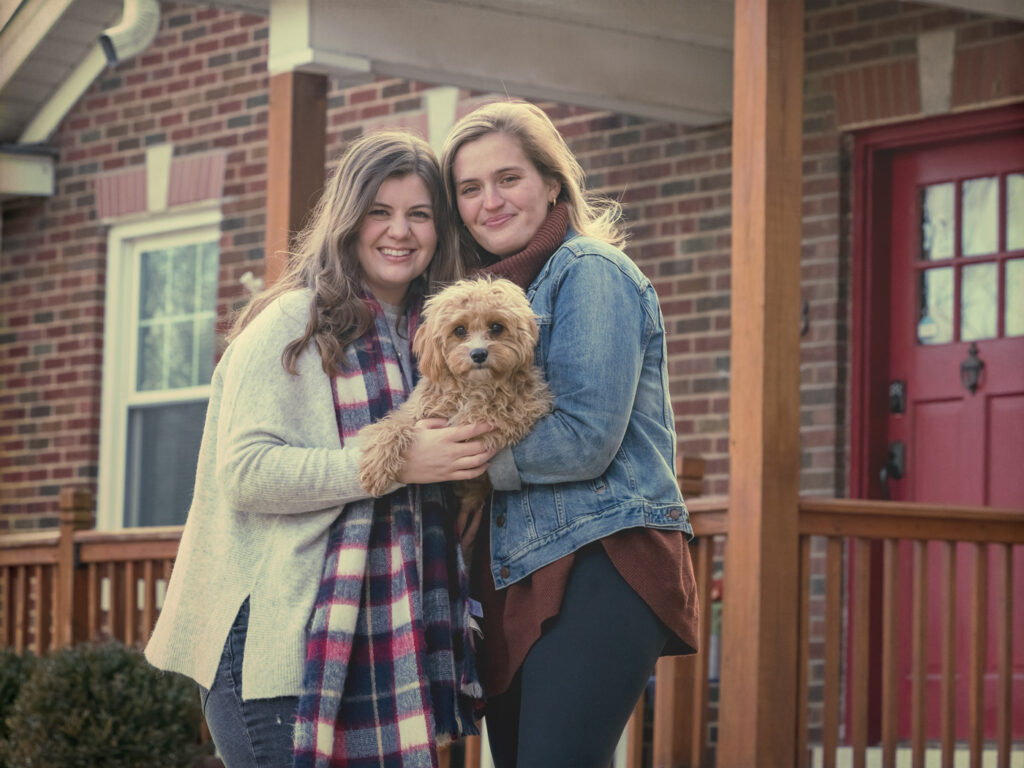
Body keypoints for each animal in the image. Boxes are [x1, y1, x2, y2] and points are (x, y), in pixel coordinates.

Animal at [360, 278, 552, 512]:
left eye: (496, 327)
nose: (478, 354)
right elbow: (393, 426)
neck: (471, 387)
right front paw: (375, 467)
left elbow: (497, 414)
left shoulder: (530, 406)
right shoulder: (414, 410)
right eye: (459, 330)